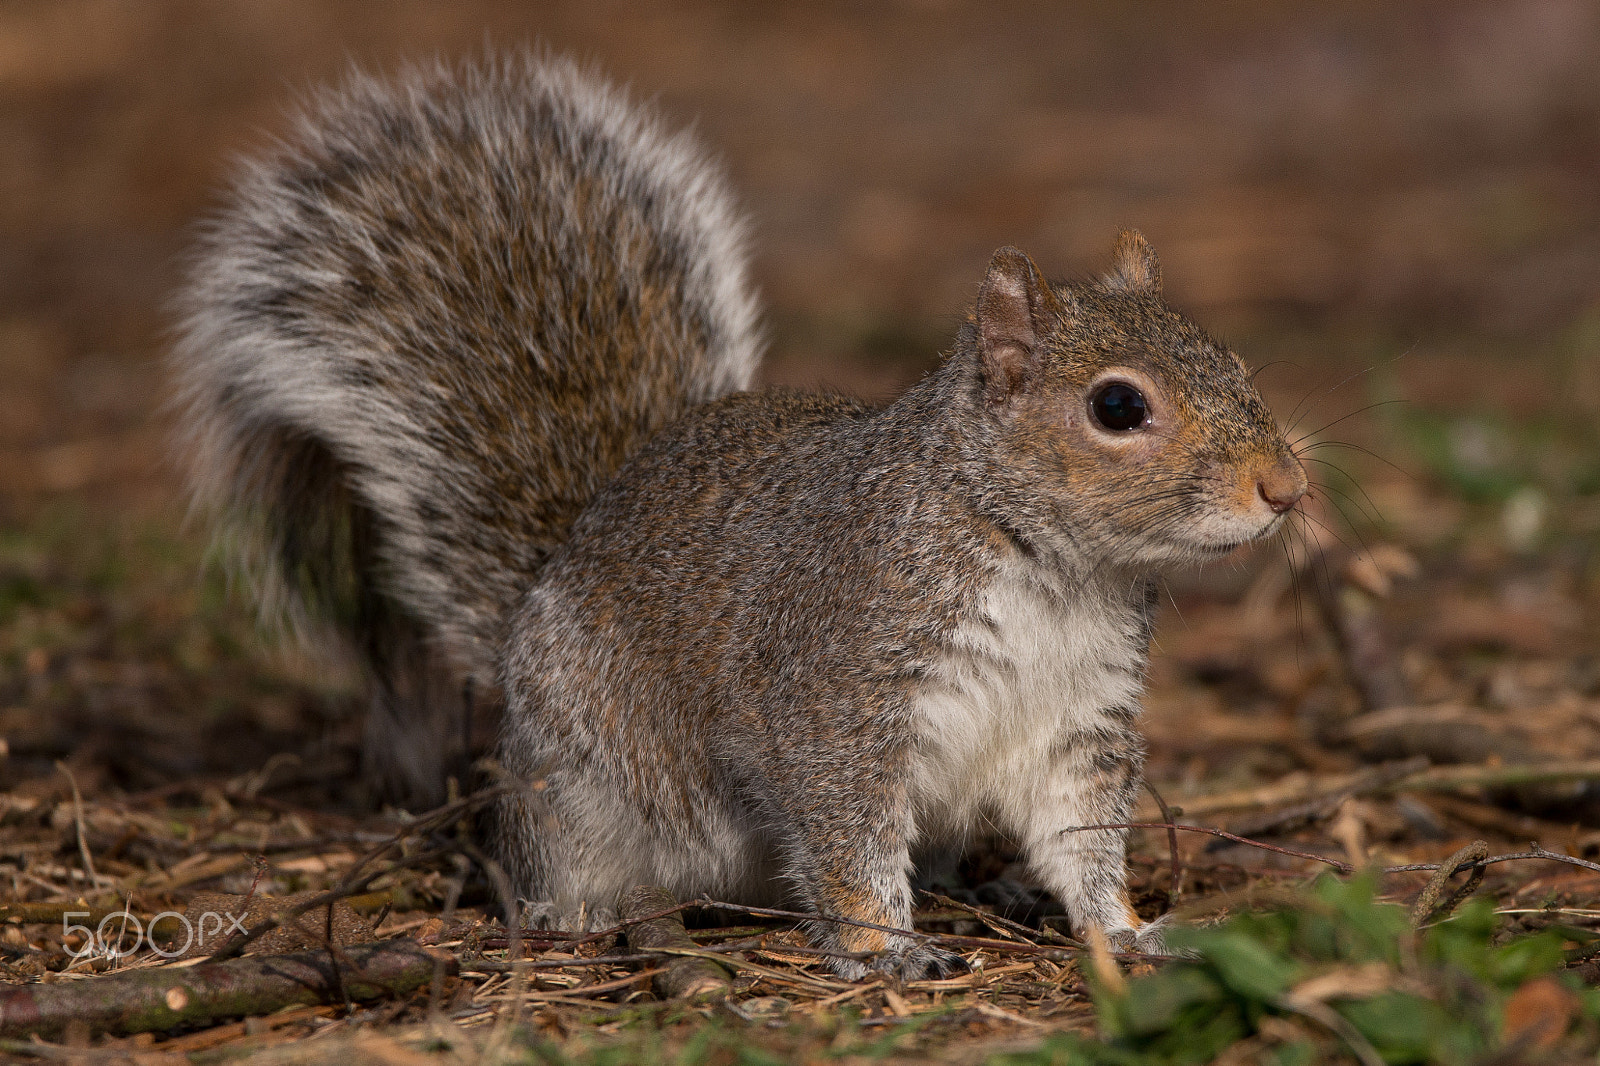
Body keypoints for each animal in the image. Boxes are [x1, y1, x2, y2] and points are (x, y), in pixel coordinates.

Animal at [172, 54, 1299, 973]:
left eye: (1239, 364)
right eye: (1118, 407)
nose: (1285, 488)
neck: (1051, 566)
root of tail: (554, 566)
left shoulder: (1078, 719)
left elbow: (1081, 835)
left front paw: (1124, 929)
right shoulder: (838, 688)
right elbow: (846, 833)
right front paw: (879, 949)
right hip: (576, 783)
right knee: (551, 862)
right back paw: (575, 915)